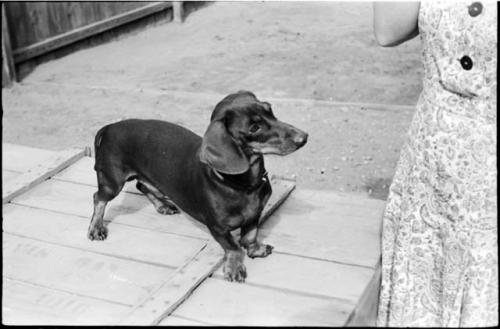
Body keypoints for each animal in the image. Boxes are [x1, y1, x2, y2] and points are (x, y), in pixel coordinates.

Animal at [89, 90, 308, 282]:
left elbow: (250, 236)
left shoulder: (254, 215)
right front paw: (234, 268)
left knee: (141, 186)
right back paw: (96, 228)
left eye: (269, 109)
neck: (241, 184)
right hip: (112, 182)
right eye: (254, 128)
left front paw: (256, 250)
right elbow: (233, 247)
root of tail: (110, 127)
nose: (304, 137)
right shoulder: (217, 228)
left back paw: (163, 206)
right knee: (99, 198)